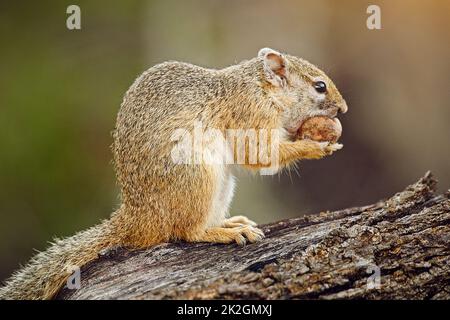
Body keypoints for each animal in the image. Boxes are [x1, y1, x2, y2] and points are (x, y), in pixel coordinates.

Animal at [0, 47, 348, 300]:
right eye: (319, 86)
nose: (343, 109)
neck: (262, 89)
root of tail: (139, 220)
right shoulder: (250, 115)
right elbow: (260, 155)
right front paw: (315, 145)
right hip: (198, 176)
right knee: (187, 231)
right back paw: (221, 232)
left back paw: (228, 223)